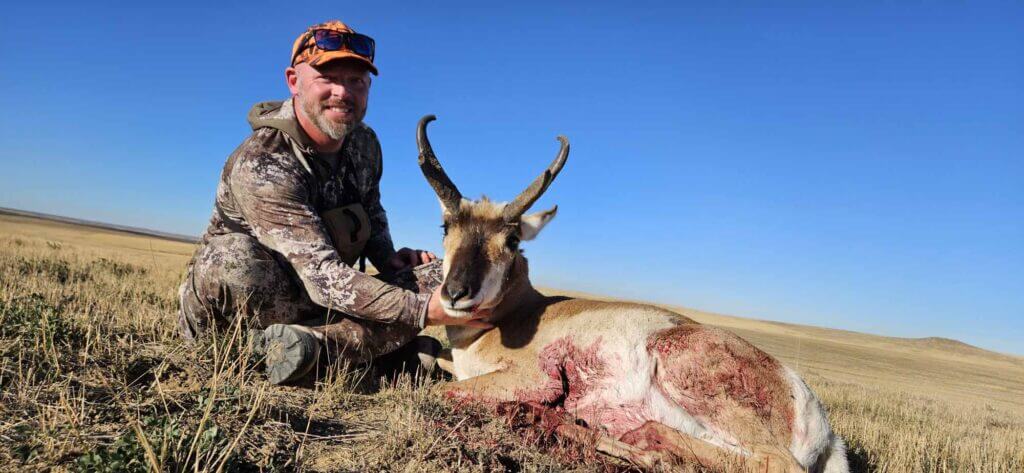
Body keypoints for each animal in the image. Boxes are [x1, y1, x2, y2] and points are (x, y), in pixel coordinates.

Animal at [417, 115, 849, 473]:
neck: (518, 313)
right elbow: (430, 354)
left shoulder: (532, 378)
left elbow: (446, 390)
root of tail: (826, 431)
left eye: (511, 239)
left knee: (774, 463)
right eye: (445, 226)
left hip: (678, 357)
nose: (455, 293)